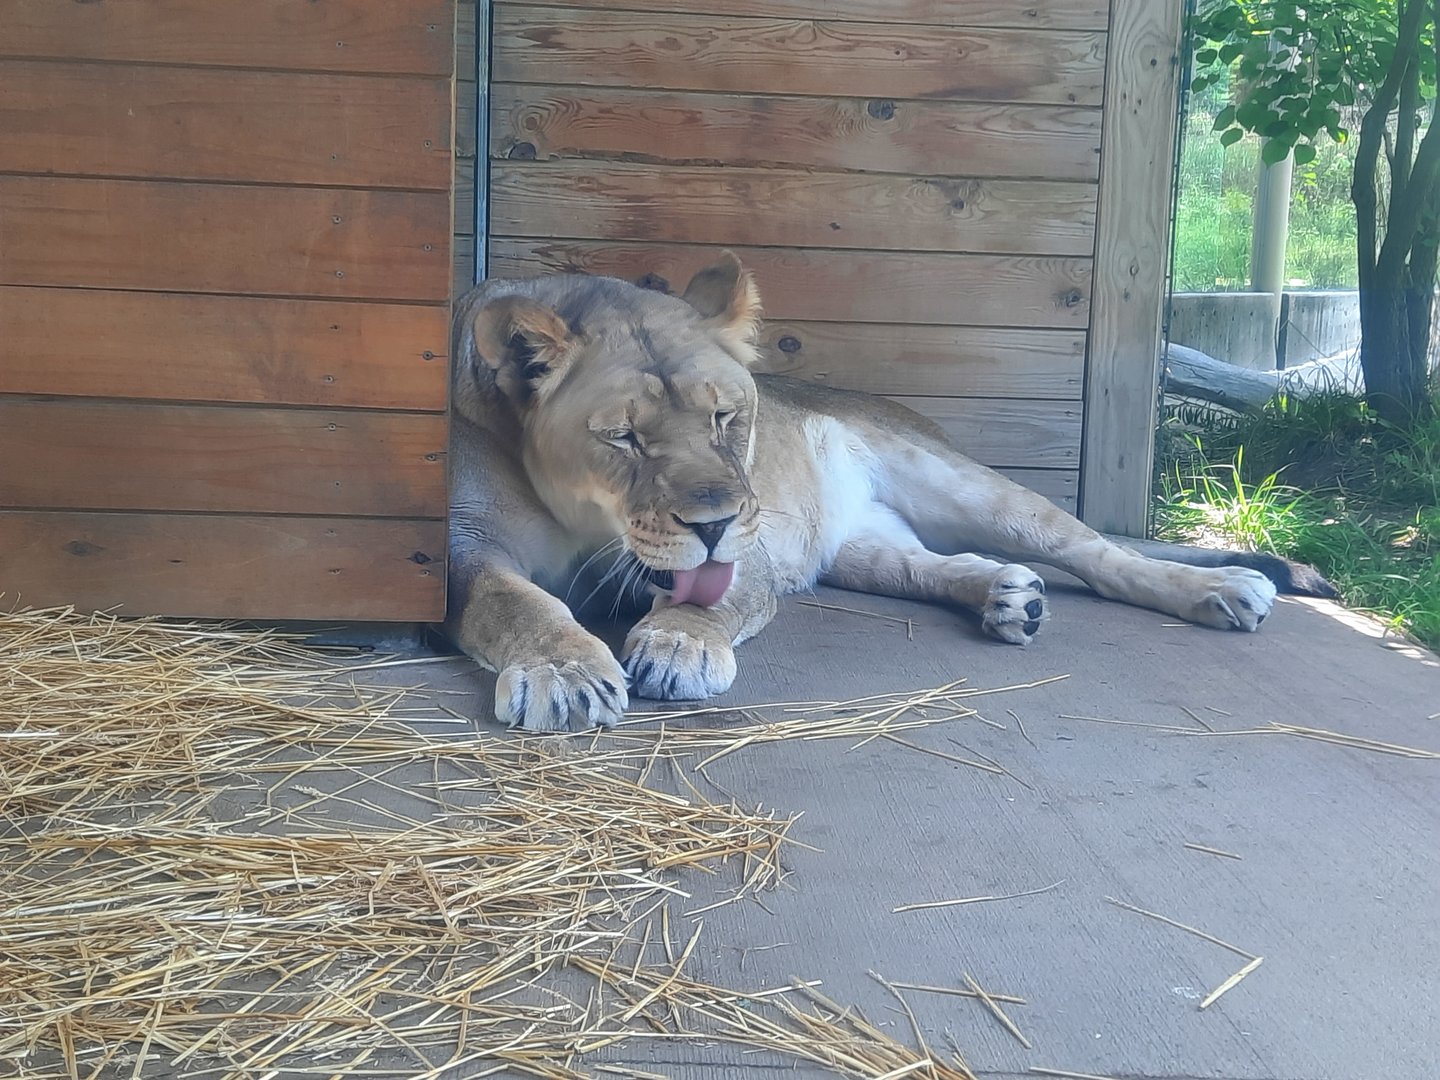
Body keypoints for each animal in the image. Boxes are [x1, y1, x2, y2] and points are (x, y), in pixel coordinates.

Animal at [446, 253, 1334, 731]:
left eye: (726, 416)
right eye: (623, 437)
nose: (715, 523)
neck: (587, 521)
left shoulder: (753, 544)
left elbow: (713, 598)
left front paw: (678, 644)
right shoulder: (461, 545)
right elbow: (515, 602)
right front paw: (567, 672)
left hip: (965, 485)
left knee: (1099, 553)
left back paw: (1226, 590)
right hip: (859, 547)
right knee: (931, 566)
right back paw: (1009, 600)